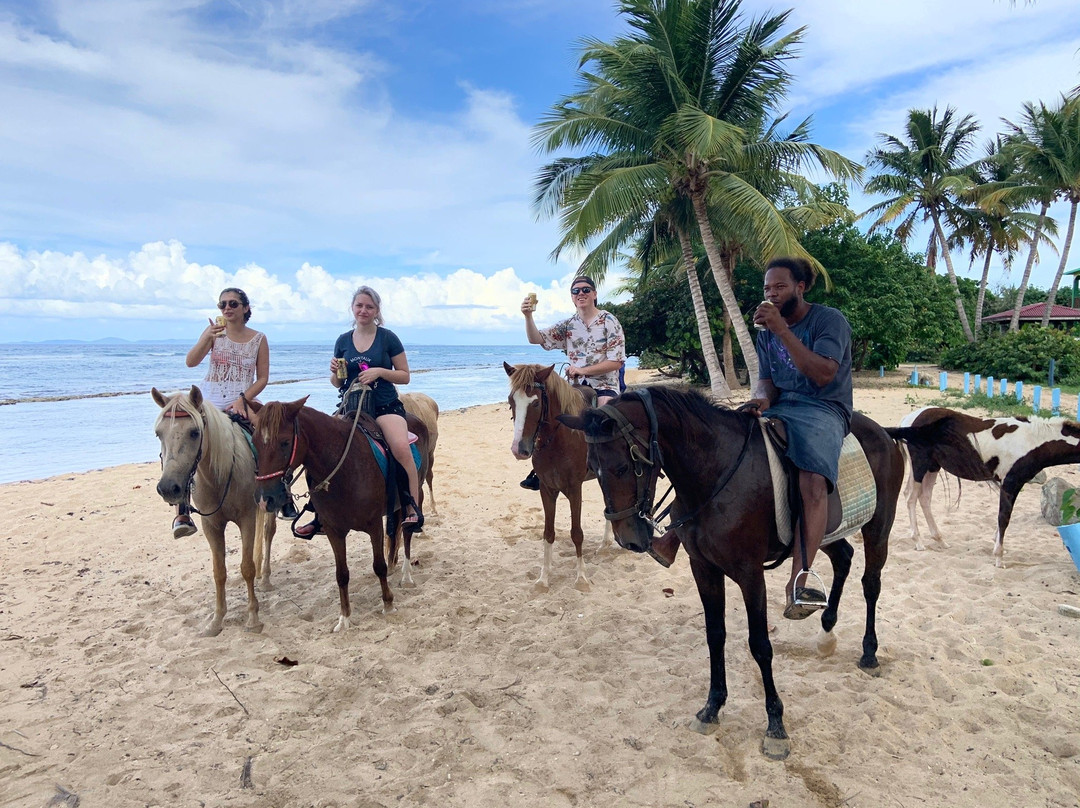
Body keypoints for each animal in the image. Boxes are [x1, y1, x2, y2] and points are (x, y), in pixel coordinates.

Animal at [153, 384, 278, 639]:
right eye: (159, 433)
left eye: (194, 432)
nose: (168, 488)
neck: (219, 476)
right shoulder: (211, 526)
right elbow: (219, 571)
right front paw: (216, 620)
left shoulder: (246, 519)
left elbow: (247, 567)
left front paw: (253, 618)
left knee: (268, 532)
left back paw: (266, 578)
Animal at [248, 397, 429, 630]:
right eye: (255, 441)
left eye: (285, 442)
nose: (265, 499)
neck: (345, 469)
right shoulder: (334, 530)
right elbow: (341, 574)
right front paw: (344, 618)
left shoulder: (374, 526)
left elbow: (378, 565)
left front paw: (388, 604)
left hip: (415, 494)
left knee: (406, 532)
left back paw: (406, 576)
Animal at [501, 362, 604, 591]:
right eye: (511, 401)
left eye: (536, 402)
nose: (519, 449)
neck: (559, 440)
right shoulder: (547, 489)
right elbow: (548, 533)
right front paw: (544, 578)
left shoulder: (575, 490)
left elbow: (577, 533)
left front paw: (581, 577)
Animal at [561, 388, 907, 760]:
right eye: (593, 469)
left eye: (624, 467)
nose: (628, 539)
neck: (714, 474)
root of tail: (883, 432)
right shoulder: (704, 569)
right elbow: (715, 635)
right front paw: (712, 707)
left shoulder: (750, 574)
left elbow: (760, 645)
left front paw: (775, 726)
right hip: (827, 533)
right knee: (843, 558)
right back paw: (825, 628)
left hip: (878, 528)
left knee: (871, 583)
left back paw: (869, 652)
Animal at [889, 406, 1080, 566]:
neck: (1032, 441)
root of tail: (908, 418)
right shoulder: (1010, 483)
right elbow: (1004, 518)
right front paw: (999, 558)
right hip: (920, 465)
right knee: (911, 498)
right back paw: (918, 541)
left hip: (932, 466)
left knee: (924, 497)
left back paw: (940, 540)